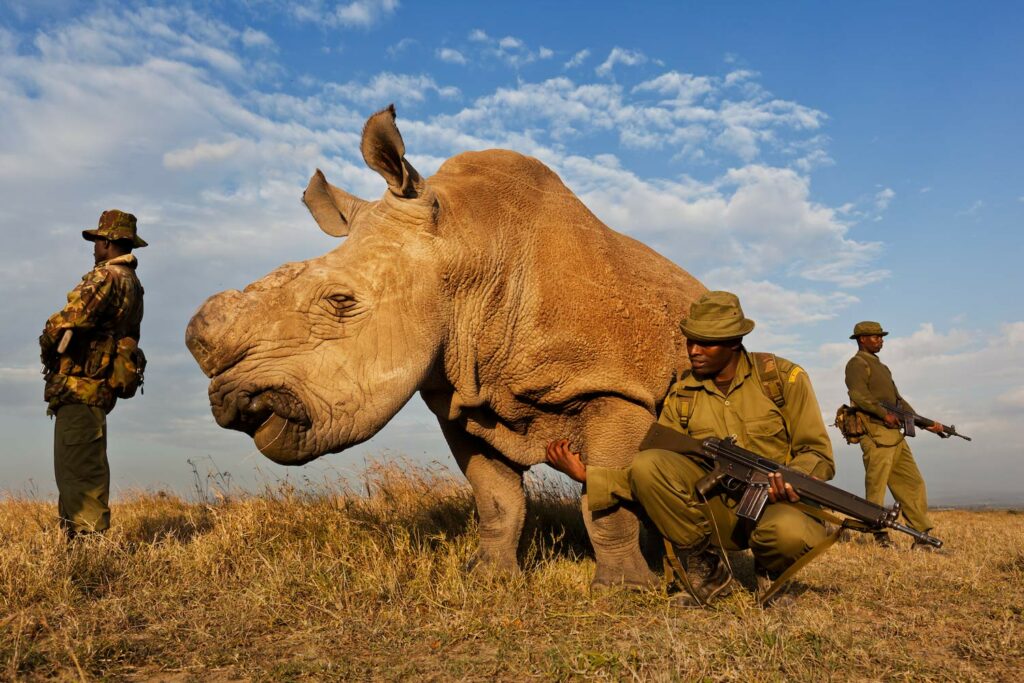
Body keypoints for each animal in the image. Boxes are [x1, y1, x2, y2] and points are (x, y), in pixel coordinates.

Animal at [186, 107, 704, 589]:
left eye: (340, 301)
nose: (234, 402)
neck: (470, 248)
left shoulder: (616, 387)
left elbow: (606, 500)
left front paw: (625, 589)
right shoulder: (461, 399)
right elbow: (496, 498)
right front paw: (491, 578)